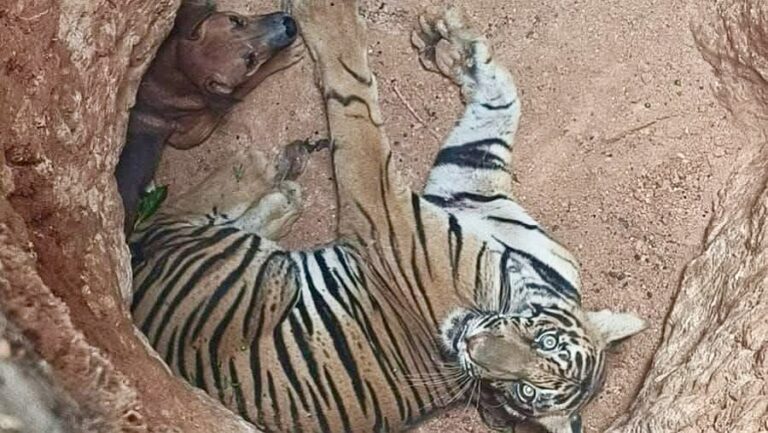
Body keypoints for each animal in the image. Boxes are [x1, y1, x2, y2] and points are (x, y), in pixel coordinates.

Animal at [129, 2, 646, 433]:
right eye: (546, 341)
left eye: (522, 391)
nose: (472, 347)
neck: (521, 277)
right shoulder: (465, 188)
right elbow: (498, 107)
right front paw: (452, 46)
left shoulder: (388, 215)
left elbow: (353, 100)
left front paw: (325, 16)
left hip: (257, 277)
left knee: (173, 216)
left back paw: (270, 181)